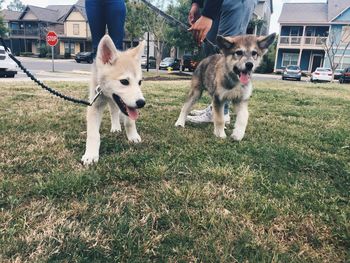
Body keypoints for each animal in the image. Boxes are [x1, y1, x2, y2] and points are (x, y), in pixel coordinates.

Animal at [82, 35, 145, 165]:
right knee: (113, 111)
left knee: (115, 111)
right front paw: (90, 154)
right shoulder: (94, 105)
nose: (142, 103)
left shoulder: (128, 107)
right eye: (124, 81)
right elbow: (93, 134)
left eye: (140, 82)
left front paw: (133, 136)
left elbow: (130, 122)